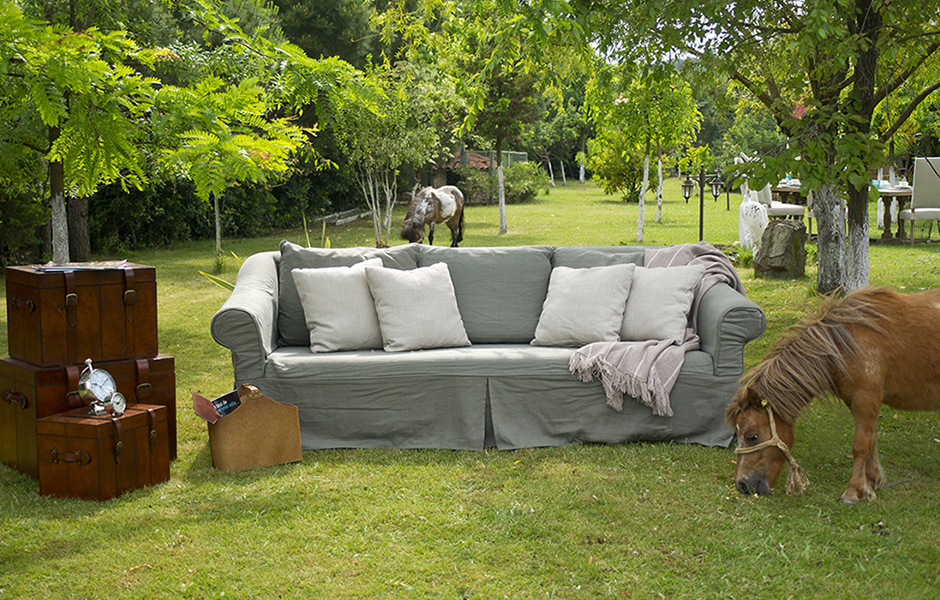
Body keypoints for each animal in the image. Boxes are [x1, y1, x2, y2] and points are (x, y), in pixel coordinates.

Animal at [725, 286, 940, 504]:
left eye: (752, 437)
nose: (742, 485)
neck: (843, 345)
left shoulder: (865, 398)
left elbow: (861, 445)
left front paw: (853, 492)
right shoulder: (856, 402)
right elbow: (871, 440)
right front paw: (871, 483)